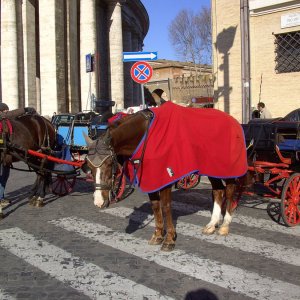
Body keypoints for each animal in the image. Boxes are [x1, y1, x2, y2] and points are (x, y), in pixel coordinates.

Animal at [84, 103, 248, 251]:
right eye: (89, 166)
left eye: (109, 163)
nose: (99, 202)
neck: (146, 135)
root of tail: (234, 121)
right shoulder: (151, 178)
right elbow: (156, 206)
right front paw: (158, 236)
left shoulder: (165, 179)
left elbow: (166, 207)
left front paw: (169, 239)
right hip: (211, 168)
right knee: (218, 191)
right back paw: (212, 224)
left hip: (228, 170)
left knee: (229, 191)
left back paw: (225, 225)